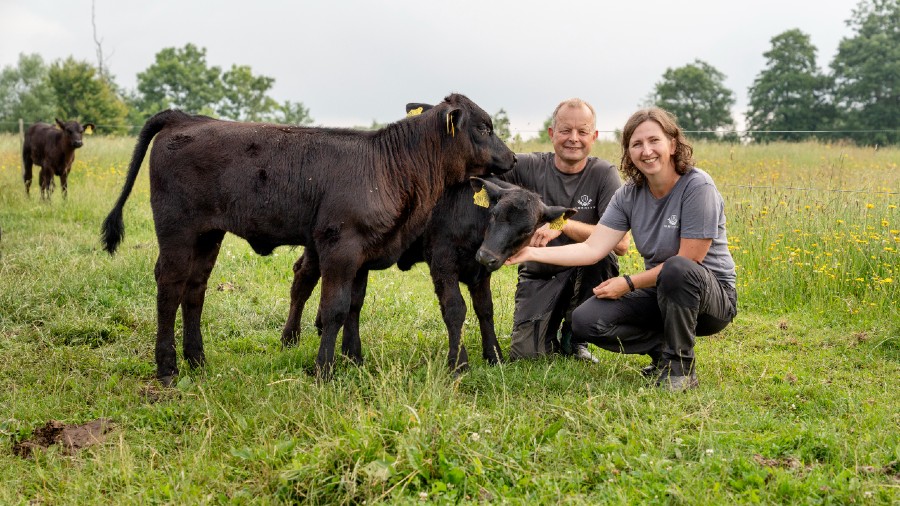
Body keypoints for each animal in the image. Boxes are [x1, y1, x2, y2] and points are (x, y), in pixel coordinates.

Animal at [100, 94, 512, 384]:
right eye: (484, 128)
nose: (510, 158)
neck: (389, 166)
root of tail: (186, 118)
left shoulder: (363, 253)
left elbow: (354, 305)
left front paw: (353, 359)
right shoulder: (340, 248)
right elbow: (334, 308)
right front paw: (324, 369)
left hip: (207, 235)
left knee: (194, 289)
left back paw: (197, 358)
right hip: (177, 231)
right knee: (169, 287)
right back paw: (167, 367)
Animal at [284, 177, 576, 372]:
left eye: (527, 229)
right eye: (493, 214)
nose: (487, 255)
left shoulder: (481, 273)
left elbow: (485, 309)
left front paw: (494, 355)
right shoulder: (442, 262)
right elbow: (455, 308)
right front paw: (459, 363)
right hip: (323, 248)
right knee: (303, 280)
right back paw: (290, 337)